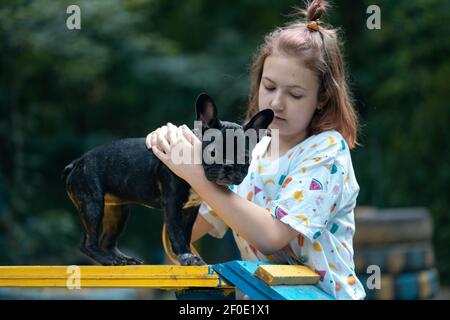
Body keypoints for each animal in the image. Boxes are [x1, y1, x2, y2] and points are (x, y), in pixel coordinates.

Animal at [62, 93, 274, 268]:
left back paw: (121, 259)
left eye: (245, 158)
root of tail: (77, 162)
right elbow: (177, 233)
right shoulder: (172, 203)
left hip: (118, 211)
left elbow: (186, 233)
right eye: (213, 153)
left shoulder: (190, 209)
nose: (229, 166)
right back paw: (108, 260)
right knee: (88, 243)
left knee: (108, 241)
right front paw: (188, 257)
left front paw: (186, 256)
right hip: (92, 203)